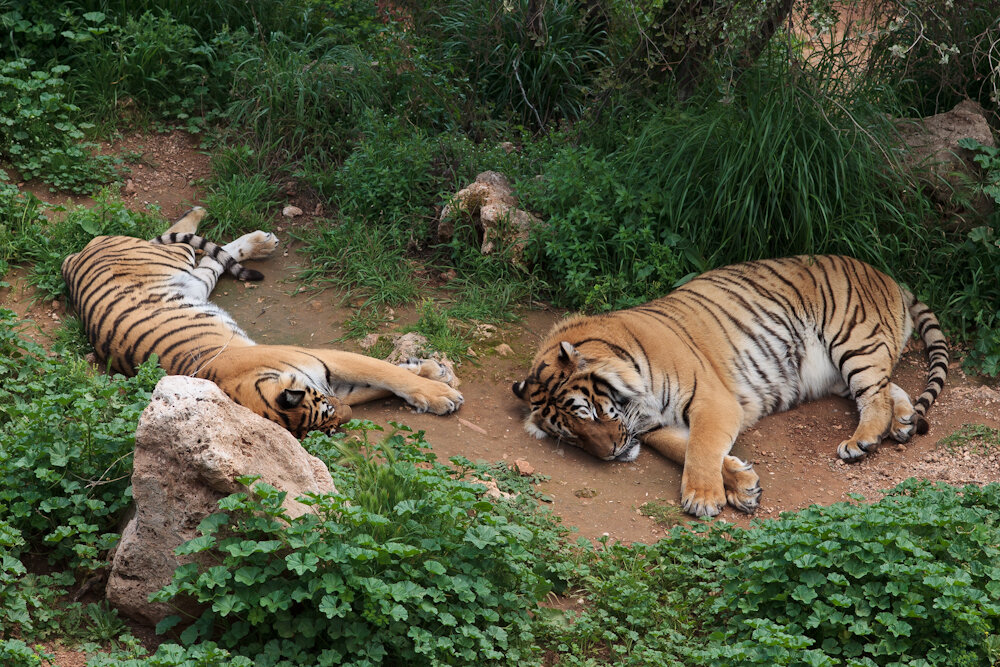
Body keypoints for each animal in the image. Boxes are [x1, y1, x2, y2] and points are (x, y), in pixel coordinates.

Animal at [64, 207, 462, 438]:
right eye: (329, 420)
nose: (346, 419)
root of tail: (73, 256)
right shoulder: (330, 378)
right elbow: (381, 380)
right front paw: (438, 387)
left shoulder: (326, 361)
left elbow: (386, 373)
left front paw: (435, 381)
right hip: (188, 274)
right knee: (211, 256)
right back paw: (256, 239)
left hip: (176, 261)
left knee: (186, 240)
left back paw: (221, 220)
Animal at [512, 256, 948, 516]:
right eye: (572, 436)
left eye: (589, 414)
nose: (610, 455)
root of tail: (886, 274)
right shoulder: (653, 426)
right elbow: (683, 448)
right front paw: (743, 485)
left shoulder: (712, 400)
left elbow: (701, 448)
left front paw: (703, 498)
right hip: (843, 371)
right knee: (889, 388)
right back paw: (903, 423)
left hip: (854, 341)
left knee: (875, 395)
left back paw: (863, 440)